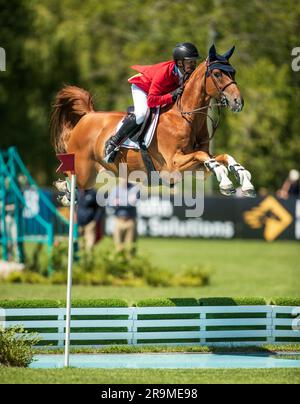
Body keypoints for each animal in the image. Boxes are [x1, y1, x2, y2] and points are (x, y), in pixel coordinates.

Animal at [51, 45, 255, 202]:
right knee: (71, 180)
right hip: (83, 172)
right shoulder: (172, 165)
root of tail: (88, 116)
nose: (238, 102)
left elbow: (221, 157)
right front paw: (227, 183)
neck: (186, 117)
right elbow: (203, 155)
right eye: (217, 73)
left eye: (233, 72)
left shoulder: (196, 168)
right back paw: (64, 188)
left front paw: (244, 179)